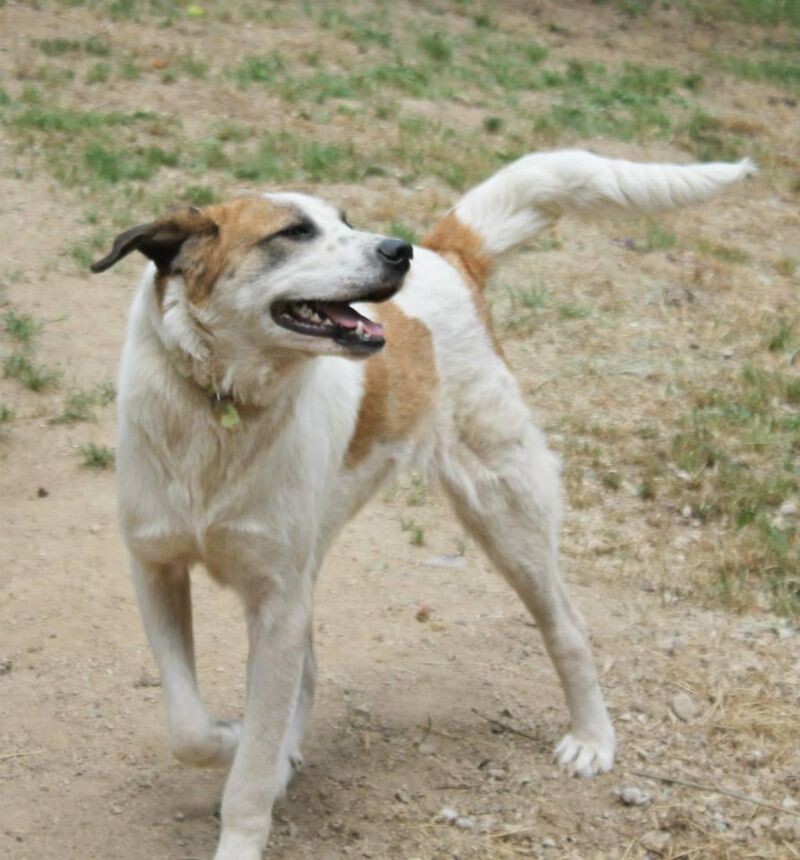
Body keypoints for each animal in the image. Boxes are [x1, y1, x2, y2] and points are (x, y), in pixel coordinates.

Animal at [90, 151, 752, 856]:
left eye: (345, 219)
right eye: (293, 232)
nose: (396, 250)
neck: (223, 405)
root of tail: (447, 255)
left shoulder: (275, 601)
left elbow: (247, 763)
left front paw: (246, 788)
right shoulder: (158, 570)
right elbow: (188, 727)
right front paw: (237, 740)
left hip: (506, 514)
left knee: (568, 628)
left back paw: (593, 739)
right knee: (306, 673)